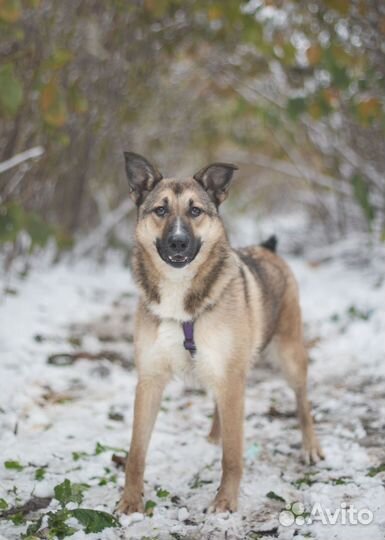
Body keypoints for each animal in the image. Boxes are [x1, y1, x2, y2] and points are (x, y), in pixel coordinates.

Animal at [118, 153, 324, 516]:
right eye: (160, 210)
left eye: (195, 211)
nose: (178, 241)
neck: (181, 299)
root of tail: (267, 248)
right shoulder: (150, 379)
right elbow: (136, 453)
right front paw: (130, 502)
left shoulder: (231, 377)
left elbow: (232, 457)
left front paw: (225, 501)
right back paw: (216, 434)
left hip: (288, 355)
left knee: (302, 402)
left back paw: (310, 446)